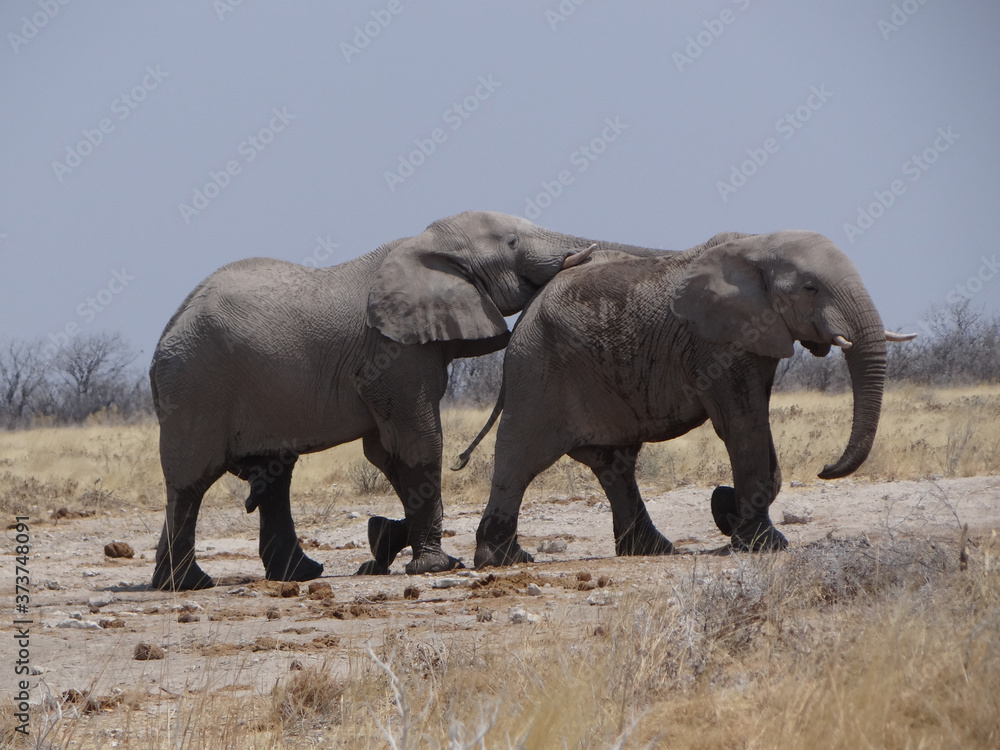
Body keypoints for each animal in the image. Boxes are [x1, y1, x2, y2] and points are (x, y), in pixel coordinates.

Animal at [148, 210, 607, 590]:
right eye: (512, 242)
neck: (423, 244)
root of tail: (167, 333)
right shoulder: (392, 352)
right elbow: (418, 442)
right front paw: (434, 566)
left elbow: (385, 453)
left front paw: (382, 540)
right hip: (196, 386)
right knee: (192, 481)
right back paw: (188, 585)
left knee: (274, 476)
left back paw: (295, 574)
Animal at [454, 230, 915, 568]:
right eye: (810, 287)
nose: (824, 469)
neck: (758, 245)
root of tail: (527, 312)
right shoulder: (716, 343)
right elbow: (742, 424)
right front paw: (762, 543)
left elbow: (756, 425)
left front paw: (727, 512)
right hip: (537, 369)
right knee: (520, 457)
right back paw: (504, 559)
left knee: (614, 463)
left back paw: (651, 551)